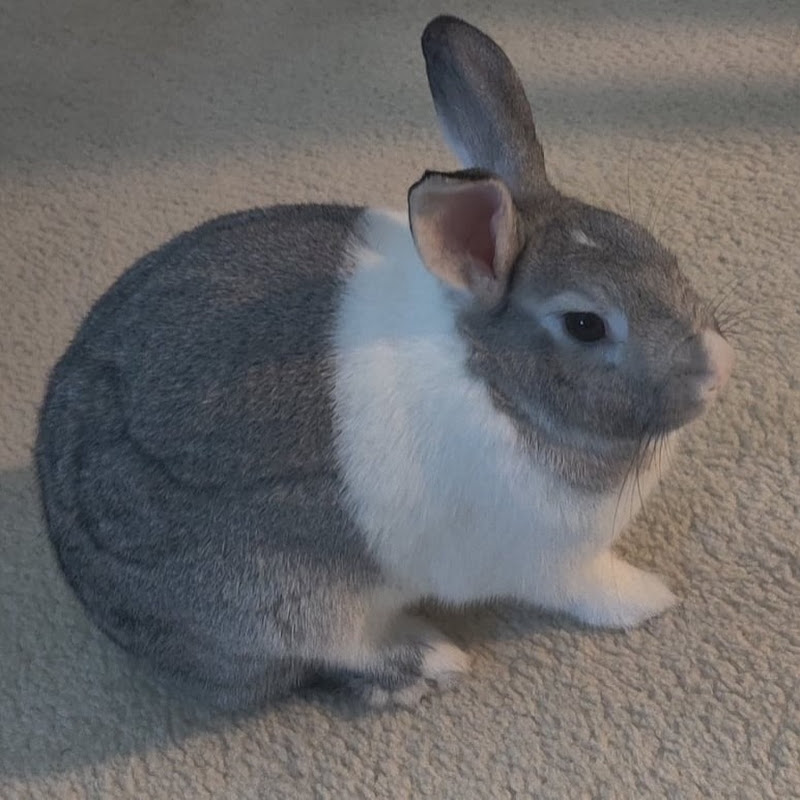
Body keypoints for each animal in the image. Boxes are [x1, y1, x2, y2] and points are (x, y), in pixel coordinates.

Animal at [36, 15, 734, 710]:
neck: (494, 381)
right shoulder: (550, 561)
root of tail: (93, 590)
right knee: (338, 655)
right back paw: (430, 664)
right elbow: (590, 588)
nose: (716, 368)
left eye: (655, 248)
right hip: (293, 603)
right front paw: (651, 599)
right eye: (585, 325)